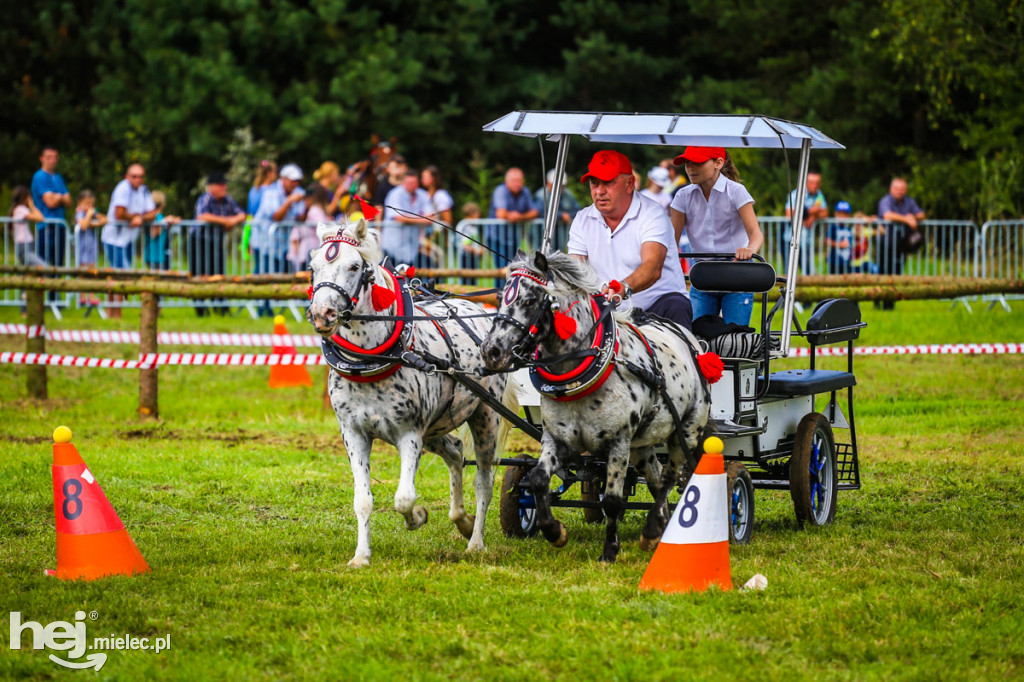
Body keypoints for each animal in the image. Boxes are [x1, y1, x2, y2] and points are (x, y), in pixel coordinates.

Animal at [301, 220, 512, 565]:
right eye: (313, 267)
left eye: (355, 266)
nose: (323, 314)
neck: (372, 360)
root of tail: (474, 308)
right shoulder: (354, 434)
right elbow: (363, 499)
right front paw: (361, 556)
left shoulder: (410, 433)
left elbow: (404, 498)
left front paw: (418, 517)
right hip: (437, 425)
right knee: (455, 451)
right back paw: (462, 521)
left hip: (485, 417)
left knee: (484, 480)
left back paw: (475, 541)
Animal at [481, 251, 712, 561]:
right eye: (501, 297)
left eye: (529, 301)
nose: (490, 351)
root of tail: (691, 341)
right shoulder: (557, 439)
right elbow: (538, 479)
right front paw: (554, 531)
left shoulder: (618, 443)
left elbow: (613, 501)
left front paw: (609, 551)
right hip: (643, 444)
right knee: (655, 475)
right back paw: (660, 528)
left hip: (686, 431)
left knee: (670, 477)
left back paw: (653, 528)